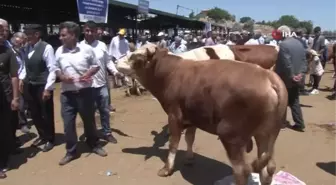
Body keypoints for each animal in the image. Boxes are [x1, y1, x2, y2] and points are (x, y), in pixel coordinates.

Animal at [117, 46, 286, 185]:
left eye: (136, 56)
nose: (115, 61)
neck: (170, 73)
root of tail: (268, 76)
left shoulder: (174, 115)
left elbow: (173, 143)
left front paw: (167, 169)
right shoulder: (192, 116)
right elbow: (189, 138)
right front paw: (189, 158)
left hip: (230, 135)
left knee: (242, 171)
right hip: (266, 134)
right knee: (268, 168)